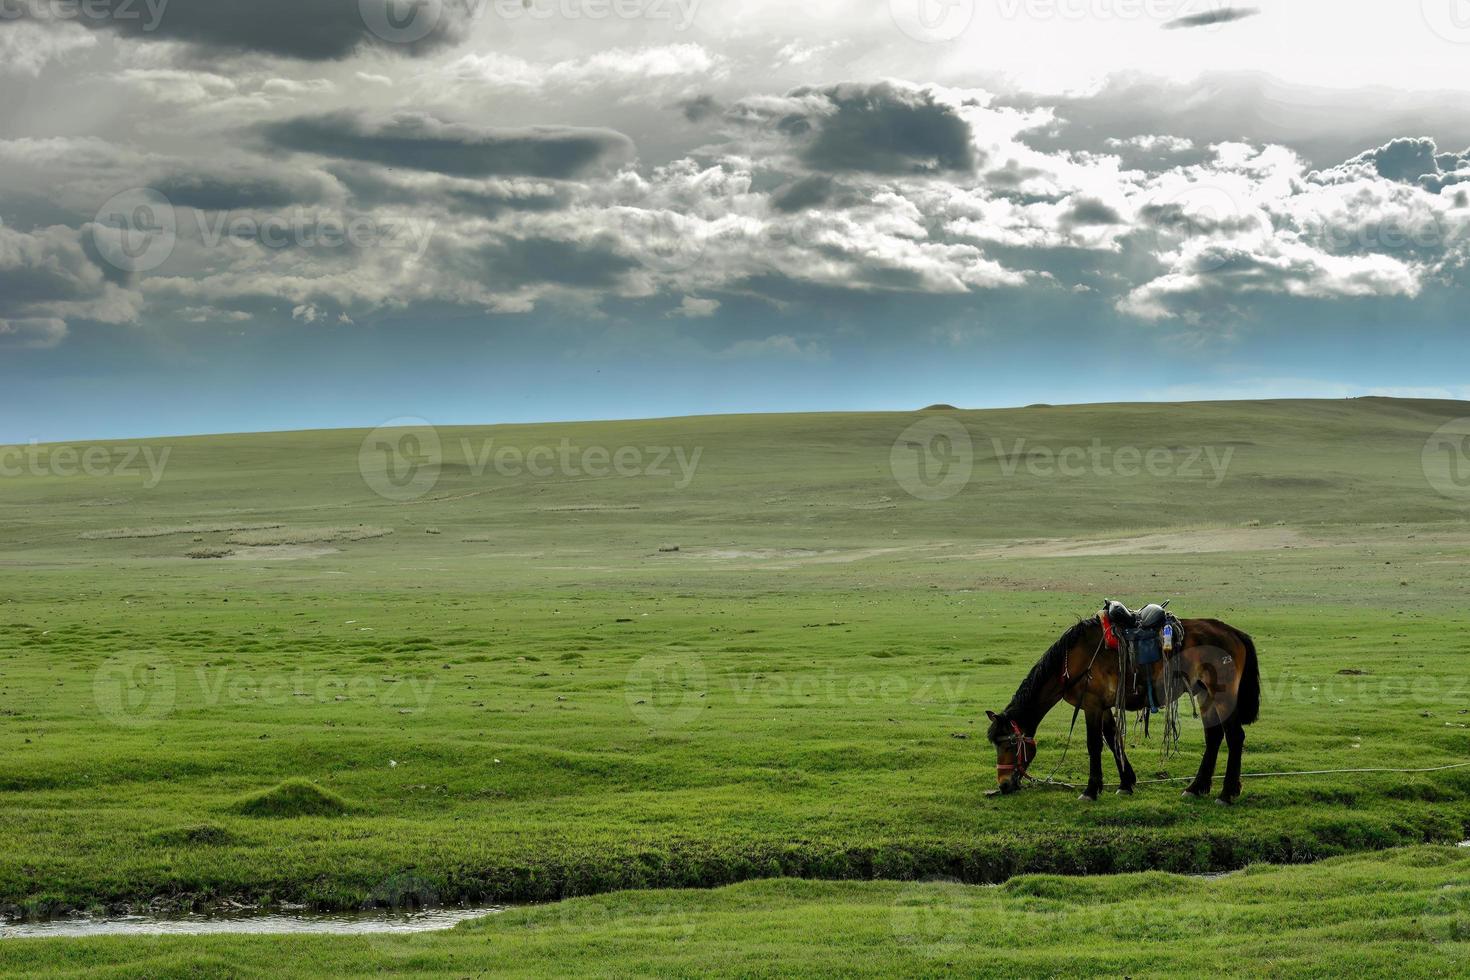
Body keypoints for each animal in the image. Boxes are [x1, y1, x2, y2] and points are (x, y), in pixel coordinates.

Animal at [981, 620, 1258, 805]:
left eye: (1008, 744)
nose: (1003, 785)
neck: (1073, 662)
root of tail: (1234, 633)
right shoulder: (1103, 707)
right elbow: (1113, 739)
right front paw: (1126, 783)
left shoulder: (1092, 705)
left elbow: (1095, 744)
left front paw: (1090, 790)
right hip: (1203, 694)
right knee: (1214, 737)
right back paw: (1196, 787)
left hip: (1221, 696)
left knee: (1234, 737)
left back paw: (1226, 793)